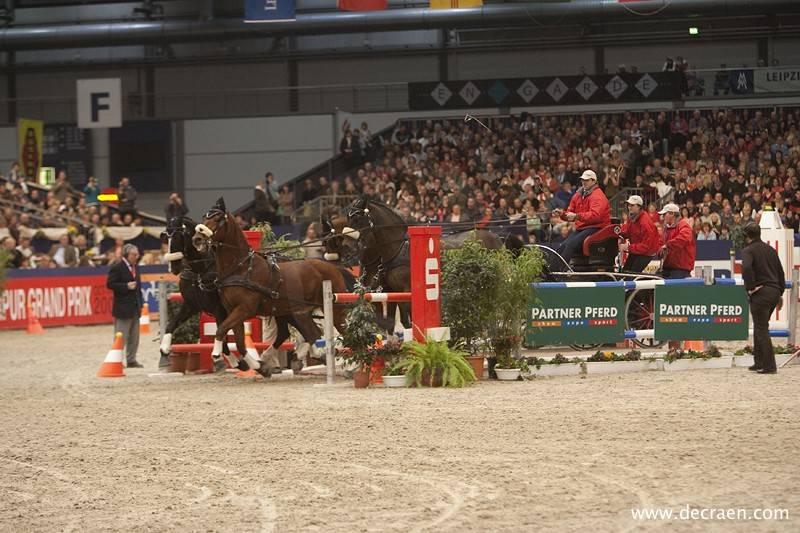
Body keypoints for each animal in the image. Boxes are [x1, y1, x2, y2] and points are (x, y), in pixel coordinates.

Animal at [192, 198, 350, 376]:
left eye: (218, 218)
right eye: (204, 217)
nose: (197, 239)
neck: (241, 267)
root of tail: (333, 266)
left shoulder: (244, 309)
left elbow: (221, 331)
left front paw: (217, 355)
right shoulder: (233, 310)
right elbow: (239, 342)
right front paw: (259, 366)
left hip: (334, 309)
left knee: (335, 332)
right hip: (296, 311)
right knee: (311, 333)